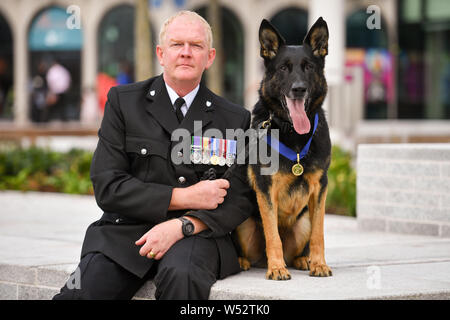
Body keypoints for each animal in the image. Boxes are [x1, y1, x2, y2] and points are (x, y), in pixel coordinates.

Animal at [237, 17, 332, 278]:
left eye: (308, 67)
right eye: (283, 68)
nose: (299, 88)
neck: (294, 135)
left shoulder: (320, 187)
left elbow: (319, 233)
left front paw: (319, 263)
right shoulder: (265, 188)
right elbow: (272, 234)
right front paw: (277, 268)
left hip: (303, 221)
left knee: (302, 243)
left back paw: (303, 259)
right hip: (243, 222)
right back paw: (245, 261)